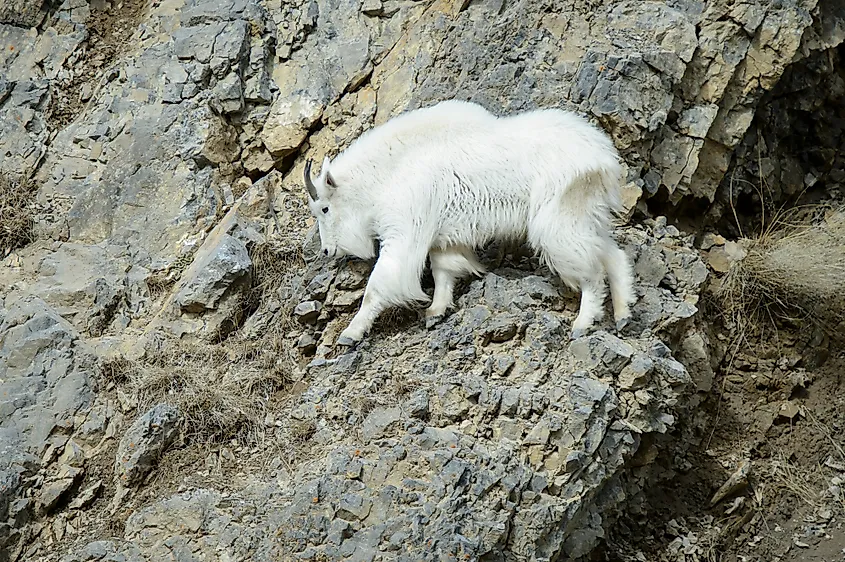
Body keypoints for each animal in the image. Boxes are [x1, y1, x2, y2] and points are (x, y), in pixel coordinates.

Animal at [303, 100, 636, 344]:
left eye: (324, 208)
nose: (327, 251)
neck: (388, 171)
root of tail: (603, 155)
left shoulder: (405, 229)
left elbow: (380, 284)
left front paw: (351, 332)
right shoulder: (444, 236)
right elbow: (444, 271)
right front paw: (436, 312)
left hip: (559, 219)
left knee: (591, 271)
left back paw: (583, 323)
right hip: (585, 215)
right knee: (612, 254)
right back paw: (623, 314)